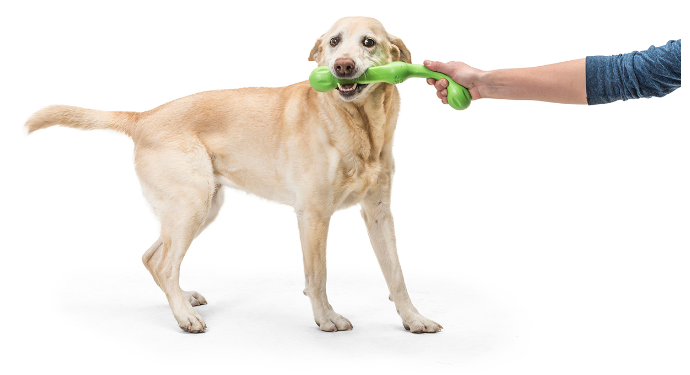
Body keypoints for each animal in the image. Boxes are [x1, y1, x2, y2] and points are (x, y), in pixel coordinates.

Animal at [25, 16, 440, 334]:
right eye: (334, 42)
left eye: (368, 42)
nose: (342, 66)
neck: (359, 126)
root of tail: (144, 116)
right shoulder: (313, 215)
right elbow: (317, 276)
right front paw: (326, 319)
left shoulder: (379, 213)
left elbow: (397, 275)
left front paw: (414, 319)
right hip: (192, 204)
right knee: (165, 263)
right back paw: (184, 317)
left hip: (202, 205)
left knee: (153, 256)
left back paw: (183, 299)